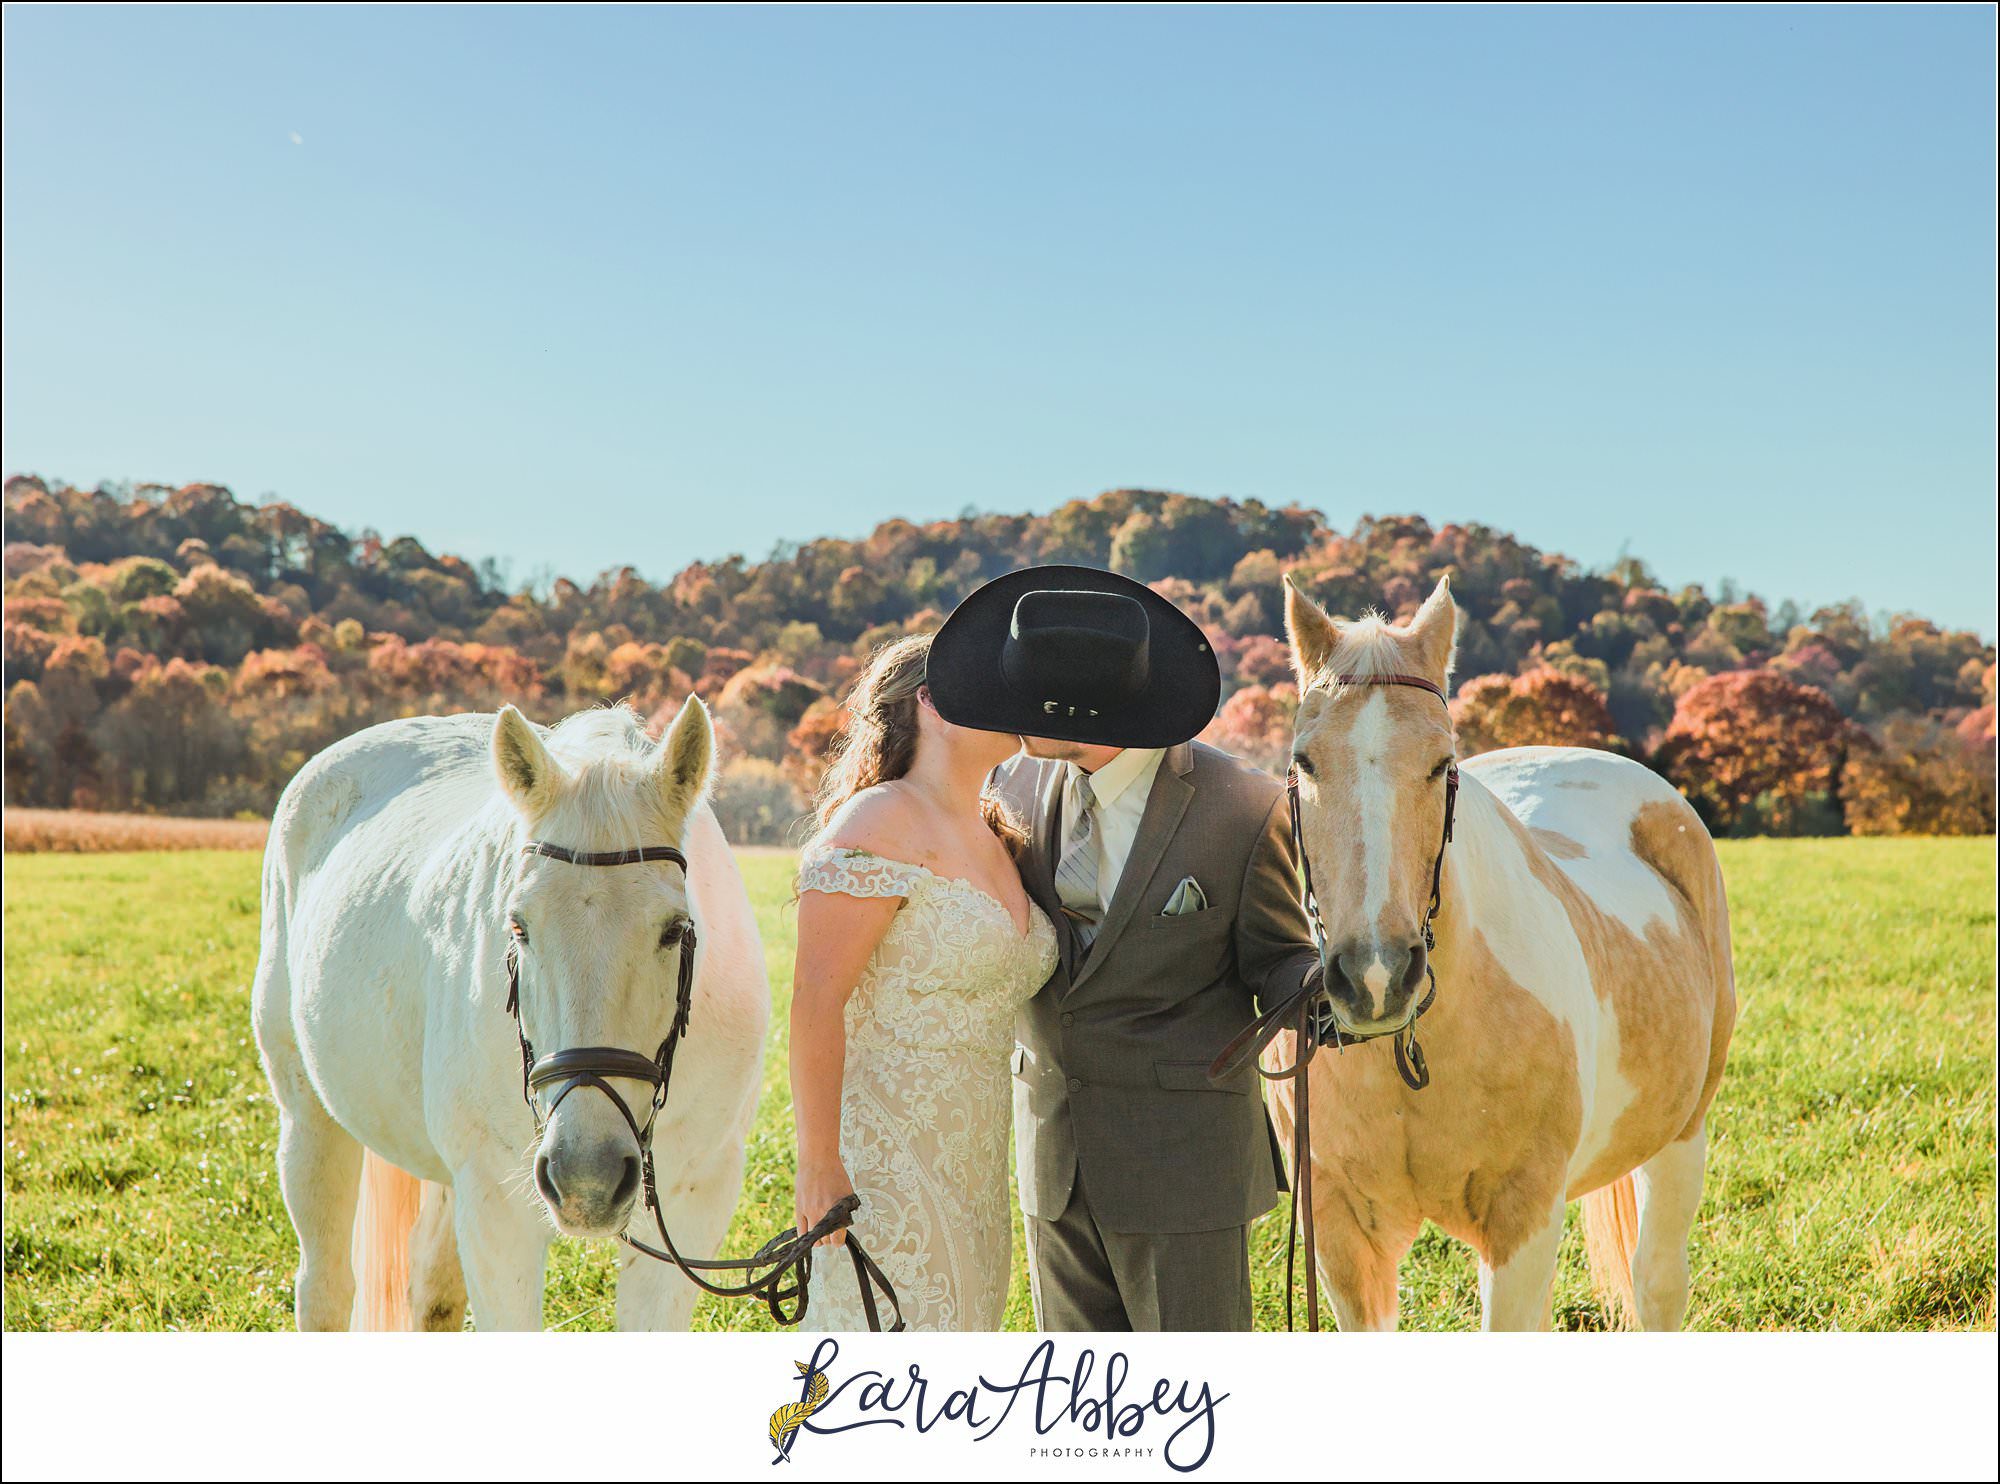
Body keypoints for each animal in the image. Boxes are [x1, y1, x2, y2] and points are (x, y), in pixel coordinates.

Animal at [252, 698, 769, 1330]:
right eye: (519, 926)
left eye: (674, 929)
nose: (587, 1177)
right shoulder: (498, 1209)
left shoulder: (696, 1198)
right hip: (310, 1120)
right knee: (324, 1287)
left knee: (431, 1291)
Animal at [1270, 576, 1734, 1331]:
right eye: (1303, 762)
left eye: (1441, 764)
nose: (1376, 976)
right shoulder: (1342, 1235)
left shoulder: (1522, 1222)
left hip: (1679, 1139)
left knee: (1658, 1283)